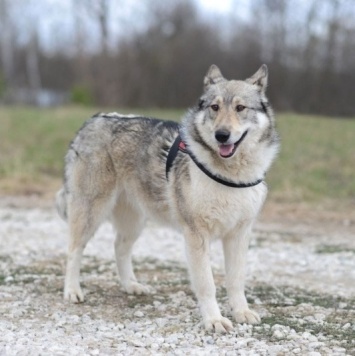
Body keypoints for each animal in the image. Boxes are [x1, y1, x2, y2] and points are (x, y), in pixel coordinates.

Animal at [55, 64, 280, 334]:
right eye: (215, 107)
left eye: (240, 108)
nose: (222, 135)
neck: (229, 176)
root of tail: (92, 120)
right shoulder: (196, 236)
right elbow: (207, 285)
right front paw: (214, 320)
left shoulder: (239, 235)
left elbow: (236, 281)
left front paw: (241, 312)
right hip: (91, 213)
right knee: (73, 250)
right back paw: (72, 291)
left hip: (134, 222)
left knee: (119, 248)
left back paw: (131, 285)